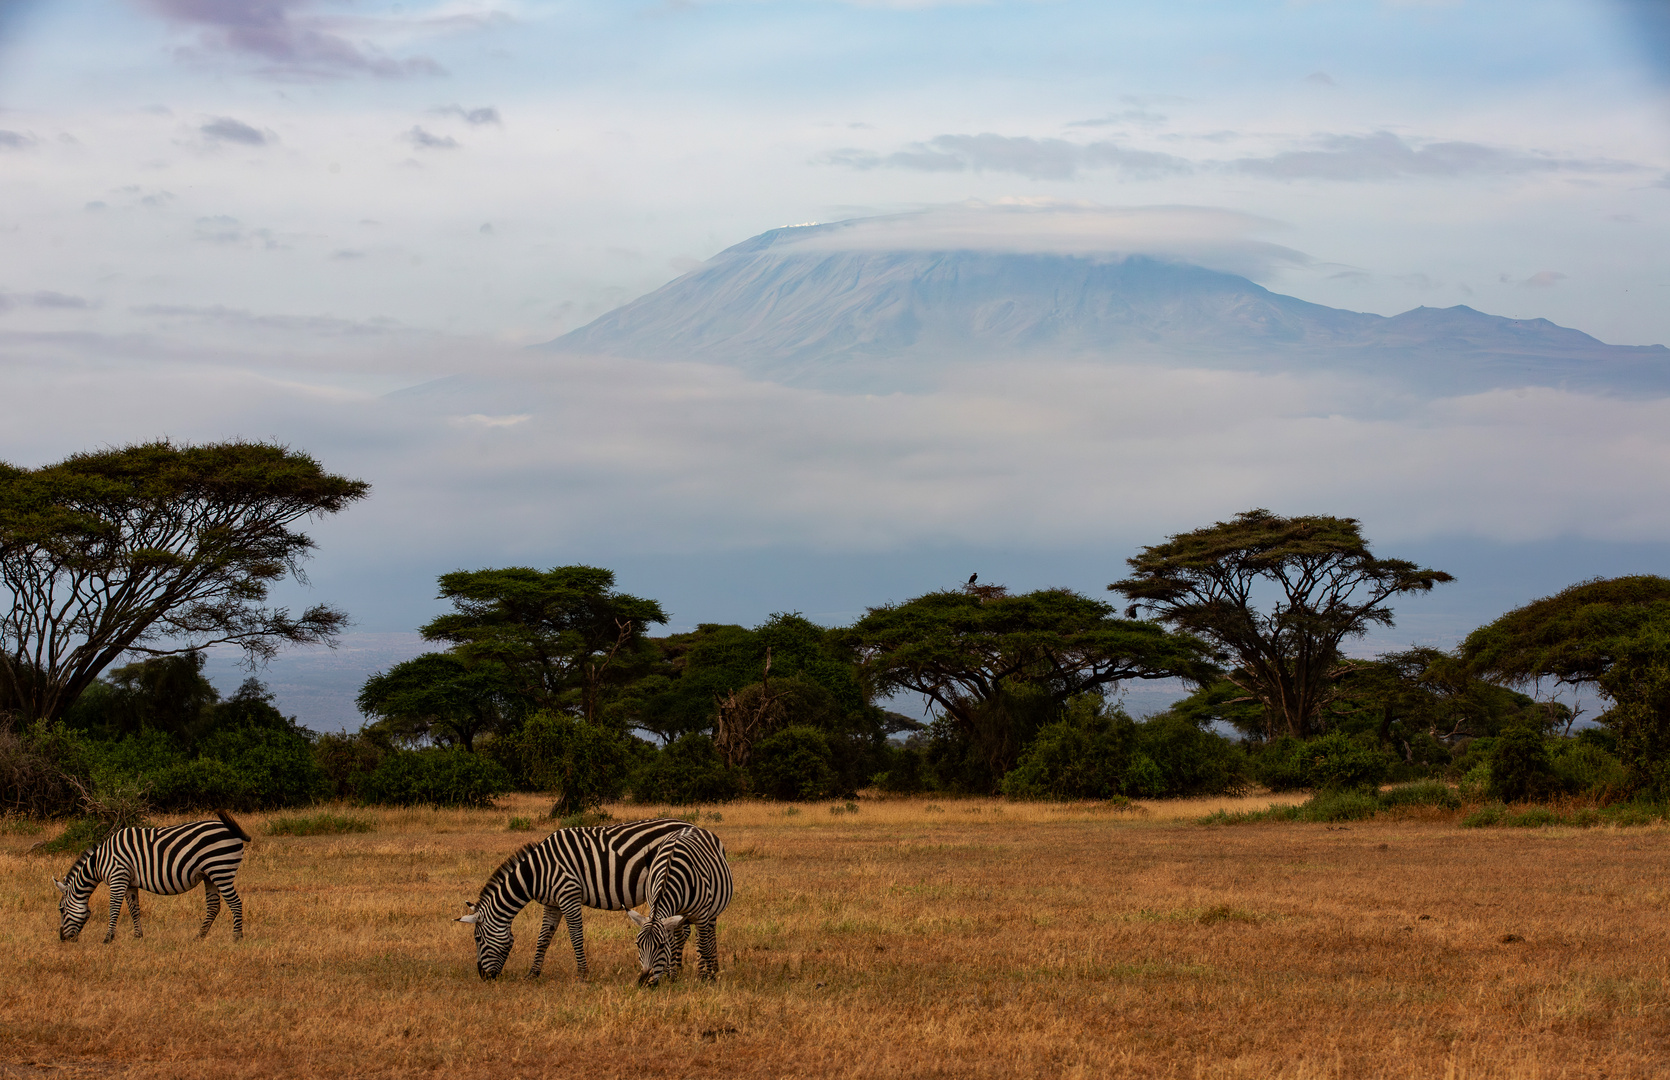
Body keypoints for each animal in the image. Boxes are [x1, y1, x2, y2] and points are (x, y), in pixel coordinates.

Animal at [53, 811, 250, 948]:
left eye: (61, 909)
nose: (62, 939)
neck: (98, 862)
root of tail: (233, 831)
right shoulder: (129, 883)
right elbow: (134, 909)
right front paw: (138, 936)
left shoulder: (118, 877)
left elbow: (114, 908)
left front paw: (108, 938)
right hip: (210, 875)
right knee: (214, 906)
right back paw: (199, 937)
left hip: (221, 870)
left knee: (235, 903)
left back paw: (237, 937)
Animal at [454, 821, 694, 981]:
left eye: (477, 939)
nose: (484, 977)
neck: (536, 872)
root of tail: (687, 824)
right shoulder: (551, 903)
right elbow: (543, 938)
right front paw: (533, 974)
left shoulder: (568, 894)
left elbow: (576, 936)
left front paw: (582, 974)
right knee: (680, 928)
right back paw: (677, 968)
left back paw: (673, 971)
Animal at [627, 827, 731, 988]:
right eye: (638, 944)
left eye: (661, 946)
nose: (645, 982)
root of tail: (693, 827)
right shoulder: (670, 916)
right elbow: (674, 946)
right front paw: (672, 976)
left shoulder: (701, 914)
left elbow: (704, 946)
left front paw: (708, 978)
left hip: (711, 913)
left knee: (708, 938)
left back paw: (711, 968)